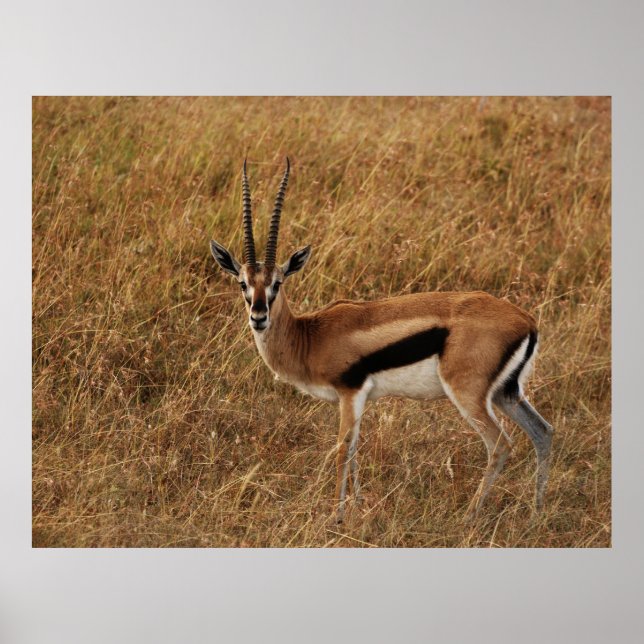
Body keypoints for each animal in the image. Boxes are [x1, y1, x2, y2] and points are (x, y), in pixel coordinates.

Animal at [210, 158, 553, 523]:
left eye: (278, 283)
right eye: (243, 283)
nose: (259, 317)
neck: (311, 336)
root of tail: (526, 321)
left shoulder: (350, 393)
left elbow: (342, 449)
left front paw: (337, 516)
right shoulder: (360, 399)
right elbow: (355, 450)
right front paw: (359, 506)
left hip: (468, 394)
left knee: (500, 444)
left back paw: (470, 517)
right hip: (507, 393)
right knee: (543, 432)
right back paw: (536, 512)